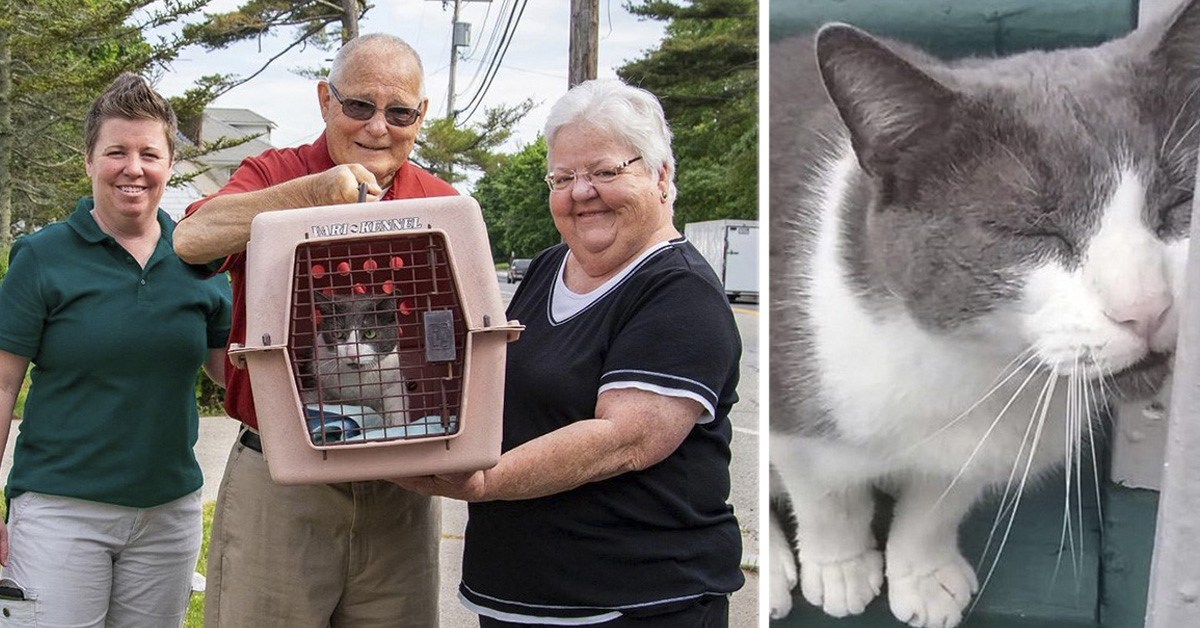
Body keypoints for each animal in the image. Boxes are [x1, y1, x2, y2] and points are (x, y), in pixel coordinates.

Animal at [768, 2, 1200, 624]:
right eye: (1032, 230)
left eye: (1180, 202)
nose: (1147, 307)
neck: (975, 369)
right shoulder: (793, 407)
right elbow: (826, 494)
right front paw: (841, 567)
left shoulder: (993, 446)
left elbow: (939, 503)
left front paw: (924, 576)